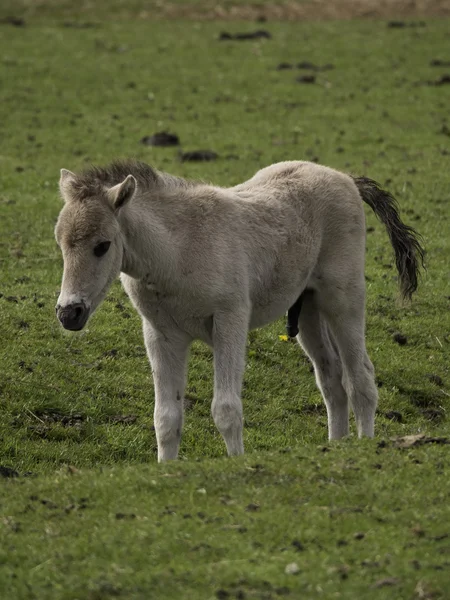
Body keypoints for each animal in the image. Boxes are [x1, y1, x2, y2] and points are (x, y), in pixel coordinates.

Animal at [54, 159, 424, 460]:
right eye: (60, 243)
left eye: (103, 246)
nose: (68, 313)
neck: (178, 250)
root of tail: (346, 178)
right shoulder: (162, 334)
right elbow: (166, 418)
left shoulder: (229, 320)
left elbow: (226, 409)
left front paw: (236, 464)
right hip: (307, 309)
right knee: (332, 379)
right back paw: (337, 445)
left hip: (343, 299)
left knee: (361, 377)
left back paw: (365, 444)